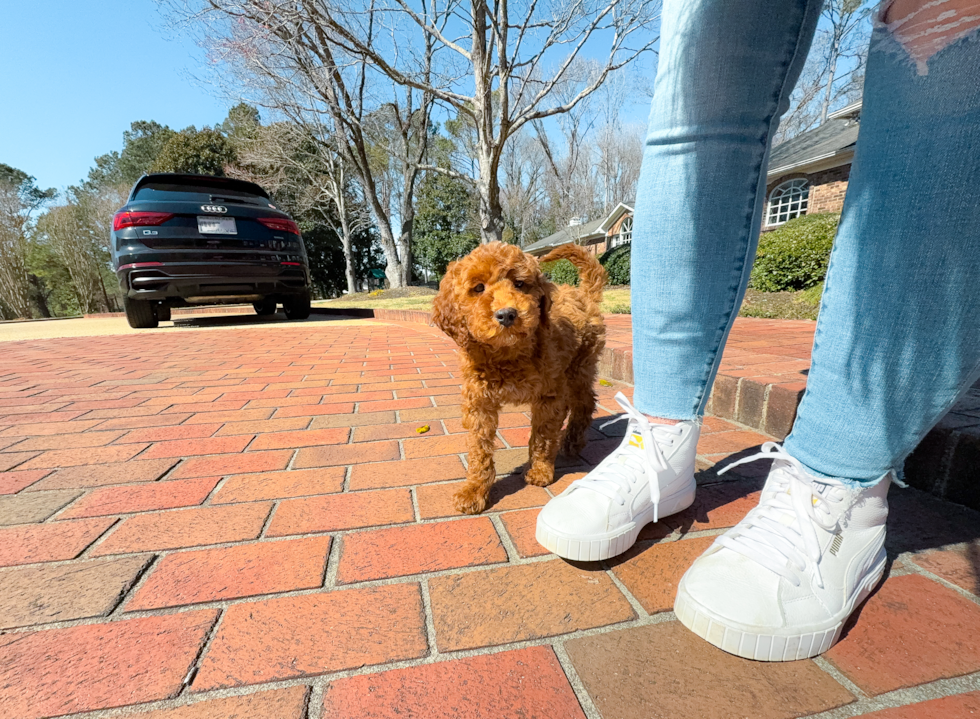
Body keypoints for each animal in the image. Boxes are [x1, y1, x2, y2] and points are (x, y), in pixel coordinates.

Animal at [434, 245, 604, 516]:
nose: (507, 314)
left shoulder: (548, 395)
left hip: (579, 367)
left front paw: (540, 470)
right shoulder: (478, 401)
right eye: (478, 288)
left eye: (520, 284)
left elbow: (543, 435)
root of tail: (583, 294)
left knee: (585, 402)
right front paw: (474, 490)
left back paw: (573, 441)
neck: (506, 353)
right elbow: (479, 448)